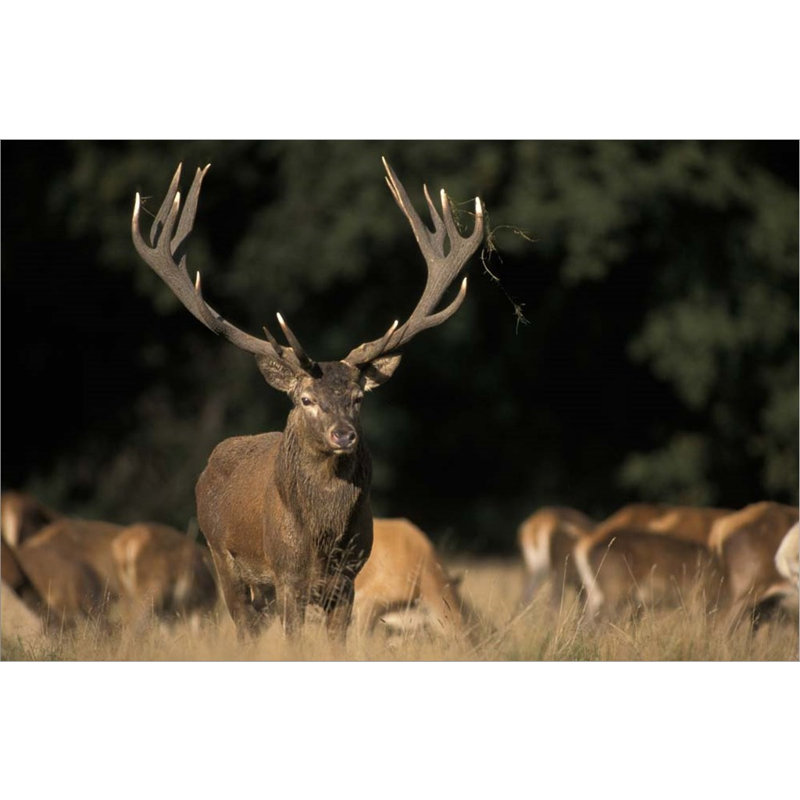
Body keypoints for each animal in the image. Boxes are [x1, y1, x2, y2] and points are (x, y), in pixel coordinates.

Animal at [131, 158, 484, 640]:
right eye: (305, 400)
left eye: (358, 397)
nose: (344, 435)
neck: (321, 541)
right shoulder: (286, 576)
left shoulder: (349, 580)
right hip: (221, 557)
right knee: (244, 626)